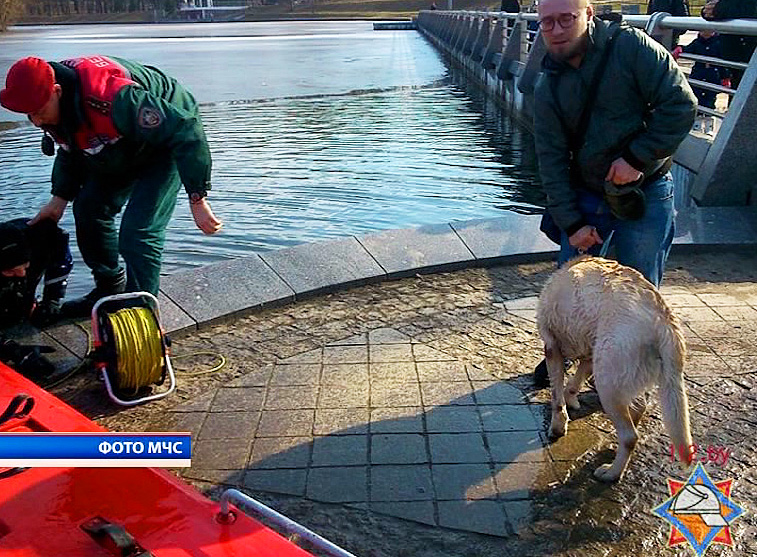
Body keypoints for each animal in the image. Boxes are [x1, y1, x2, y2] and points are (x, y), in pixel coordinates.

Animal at [536, 258, 692, 480]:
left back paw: (611, 473)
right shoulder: (590, 353)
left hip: (607, 383)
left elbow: (557, 397)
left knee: (630, 436)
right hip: (617, 371)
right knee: (638, 409)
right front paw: (571, 398)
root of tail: (663, 319)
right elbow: (575, 381)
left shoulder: (552, 348)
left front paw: (558, 426)